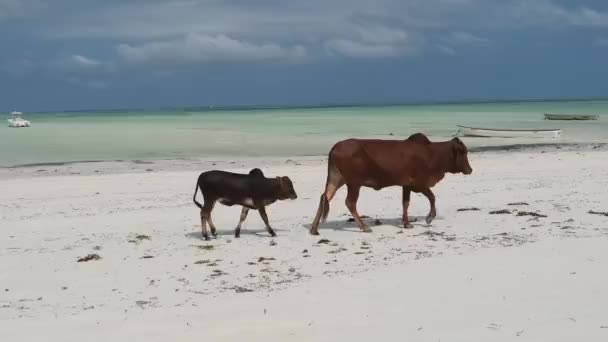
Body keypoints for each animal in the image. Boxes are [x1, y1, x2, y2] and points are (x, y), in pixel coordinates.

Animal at [312, 134, 472, 235]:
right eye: (463, 152)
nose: (470, 170)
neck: (431, 154)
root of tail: (335, 147)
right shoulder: (419, 184)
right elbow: (432, 197)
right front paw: (429, 218)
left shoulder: (406, 185)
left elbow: (406, 203)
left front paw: (407, 223)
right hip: (353, 183)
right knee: (349, 202)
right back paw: (364, 227)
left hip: (336, 179)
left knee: (324, 197)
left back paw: (314, 228)